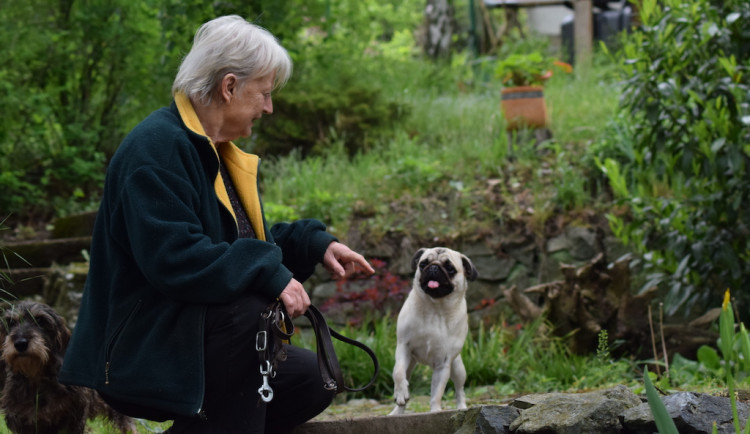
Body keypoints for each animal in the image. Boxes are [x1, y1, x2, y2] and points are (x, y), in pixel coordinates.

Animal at [390, 248, 478, 414]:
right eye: (423, 264)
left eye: (450, 268)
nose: (434, 267)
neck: (435, 308)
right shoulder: (403, 347)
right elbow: (398, 372)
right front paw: (400, 394)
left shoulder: (443, 363)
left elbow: (437, 392)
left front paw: (435, 410)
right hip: (410, 364)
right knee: (404, 380)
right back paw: (397, 411)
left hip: (457, 368)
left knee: (459, 389)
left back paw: (461, 407)